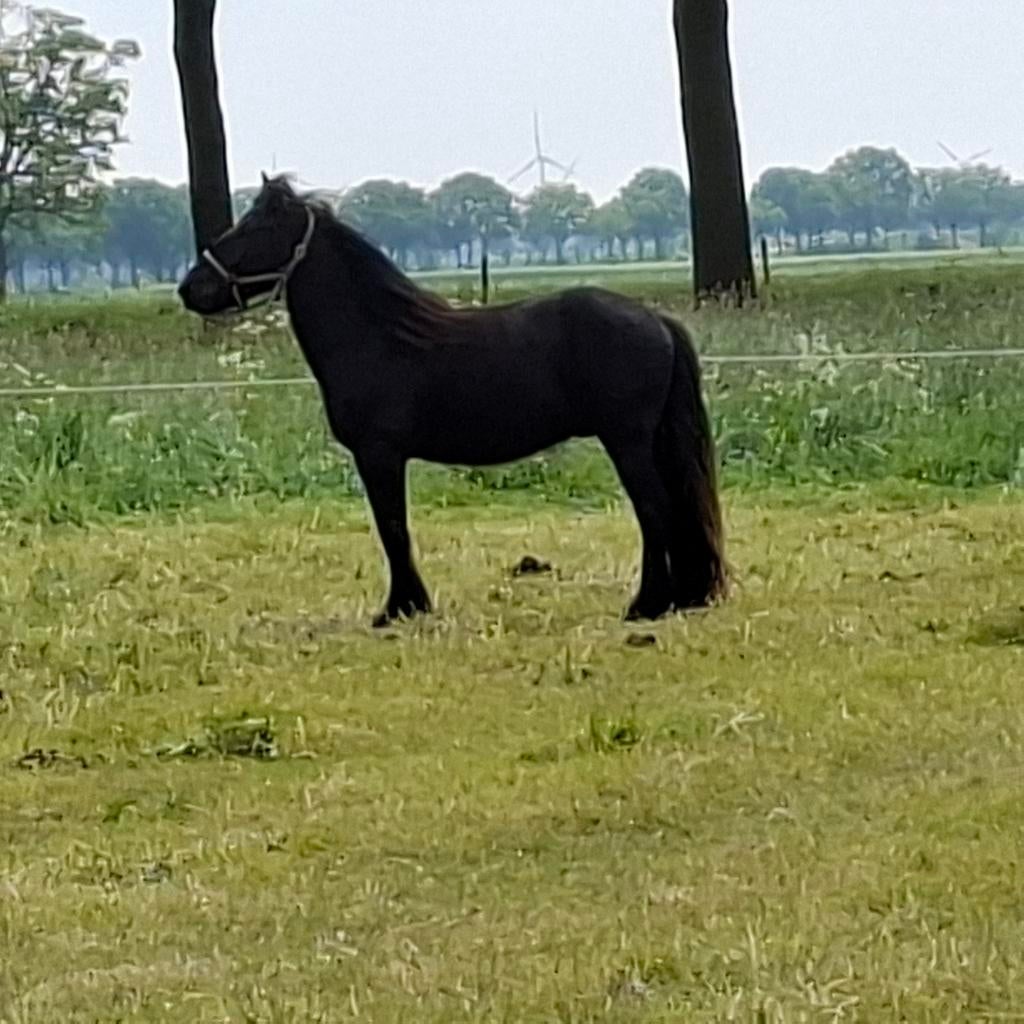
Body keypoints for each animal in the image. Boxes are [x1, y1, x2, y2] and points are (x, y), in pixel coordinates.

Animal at [178, 175, 726, 626]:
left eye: (253, 228)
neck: (380, 338)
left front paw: (400, 609)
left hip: (626, 441)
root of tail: (655, 320)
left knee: (654, 510)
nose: (190, 288)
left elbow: (393, 529)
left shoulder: (378, 455)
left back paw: (647, 605)